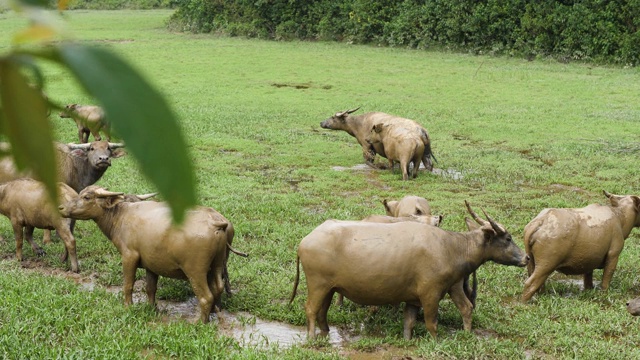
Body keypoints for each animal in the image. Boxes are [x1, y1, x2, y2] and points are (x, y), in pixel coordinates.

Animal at [58, 186, 234, 324]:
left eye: (87, 197)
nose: (61, 208)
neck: (120, 216)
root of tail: (215, 223)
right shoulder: (152, 264)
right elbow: (150, 288)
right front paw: (152, 308)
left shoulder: (129, 257)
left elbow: (128, 284)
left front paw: (128, 306)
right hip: (218, 265)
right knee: (218, 287)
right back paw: (215, 311)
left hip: (195, 271)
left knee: (206, 296)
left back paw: (199, 322)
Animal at [292, 202, 528, 340]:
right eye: (508, 238)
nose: (526, 258)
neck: (451, 247)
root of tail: (305, 241)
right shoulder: (430, 295)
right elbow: (432, 323)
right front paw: (435, 342)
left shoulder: (424, 296)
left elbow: (410, 322)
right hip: (317, 285)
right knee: (311, 309)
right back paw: (312, 337)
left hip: (329, 288)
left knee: (322, 311)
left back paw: (325, 332)